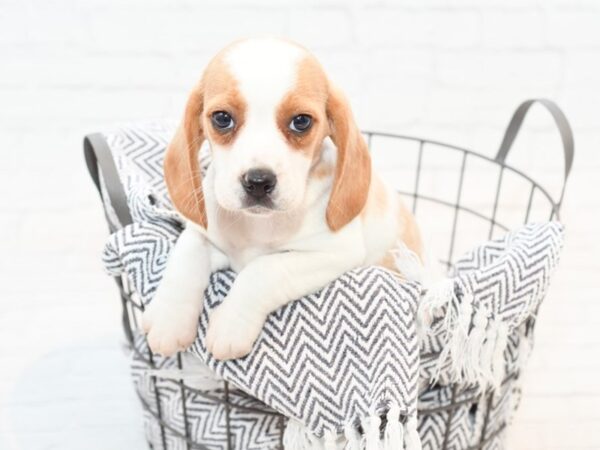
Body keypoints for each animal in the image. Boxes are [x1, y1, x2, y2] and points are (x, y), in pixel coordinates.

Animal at [142, 38, 422, 362]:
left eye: (301, 121)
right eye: (222, 118)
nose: (258, 182)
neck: (258, 227)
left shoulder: (331, 253)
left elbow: (264, 270)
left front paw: (230, 326)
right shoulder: (203, 234)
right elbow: (184, 257)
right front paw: (168, 320)